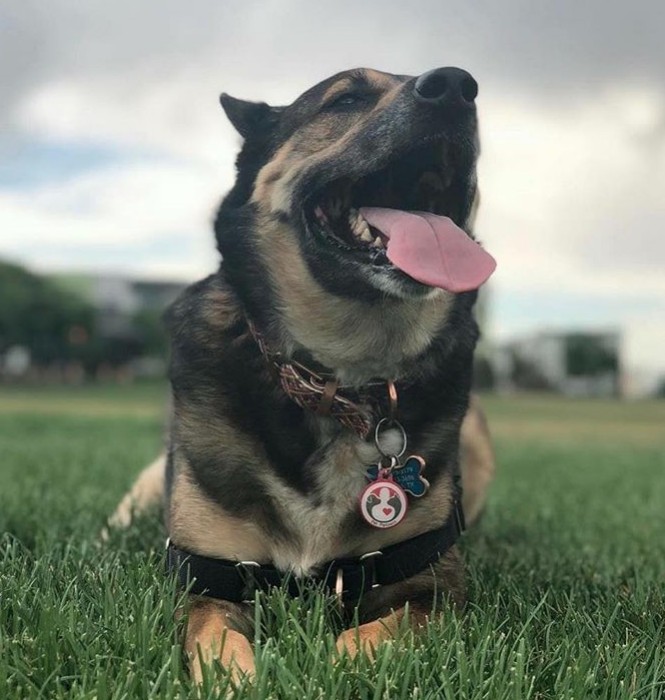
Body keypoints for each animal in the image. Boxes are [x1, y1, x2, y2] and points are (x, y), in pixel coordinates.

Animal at [107, 67, 492, 684]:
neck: (340, 385)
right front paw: (242, 681)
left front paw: (333, 668)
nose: (457, 85)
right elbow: (216, 643)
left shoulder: (432, 585)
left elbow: (373, 636)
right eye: (348, 97)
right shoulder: (206, 578)